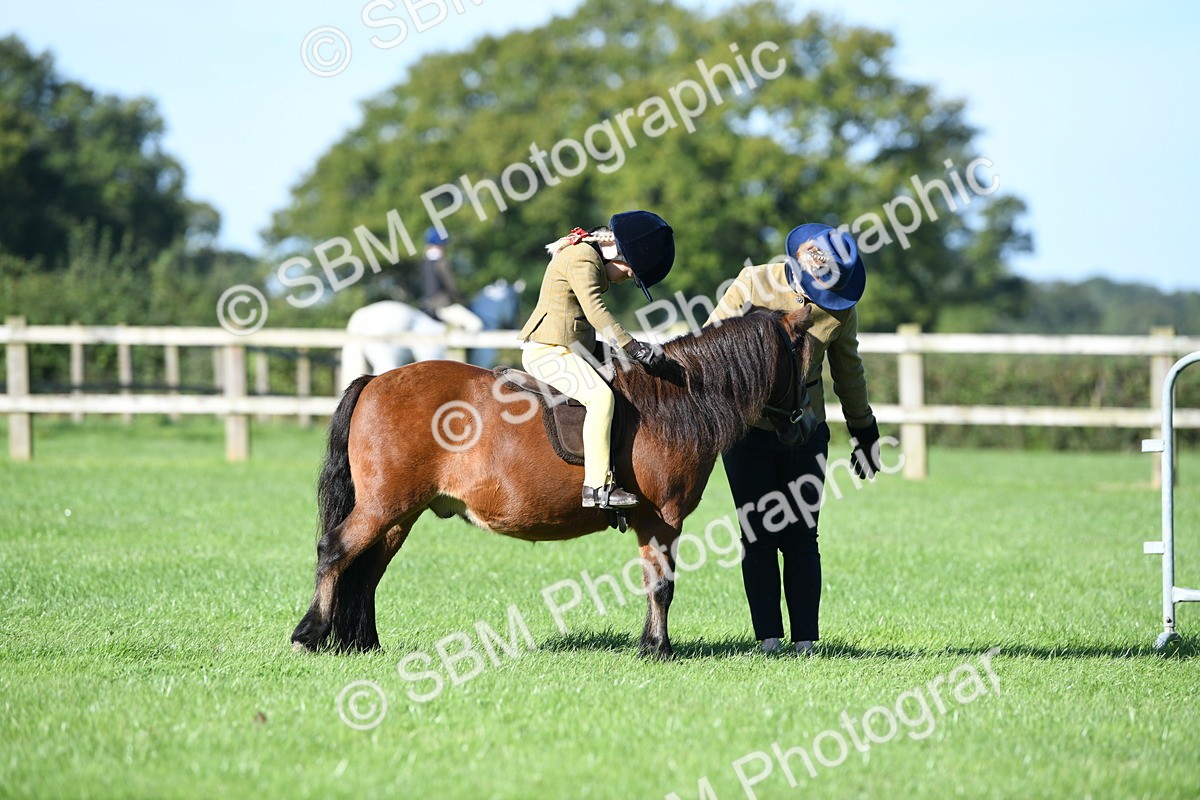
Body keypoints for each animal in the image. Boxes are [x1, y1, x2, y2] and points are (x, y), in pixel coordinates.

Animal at [291, 306, 815, 659]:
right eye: (803, 357)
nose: (804, 427)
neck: (676, 397)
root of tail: (377, 380)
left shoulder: (652, 522)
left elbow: (651, 582)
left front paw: (650, 644)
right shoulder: (664, 518)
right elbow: (662, 585)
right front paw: (659, 649)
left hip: (399, 515)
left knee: (367, 572)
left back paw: (364, 644)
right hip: (383, 508)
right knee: (334, 552)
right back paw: (309, 634)